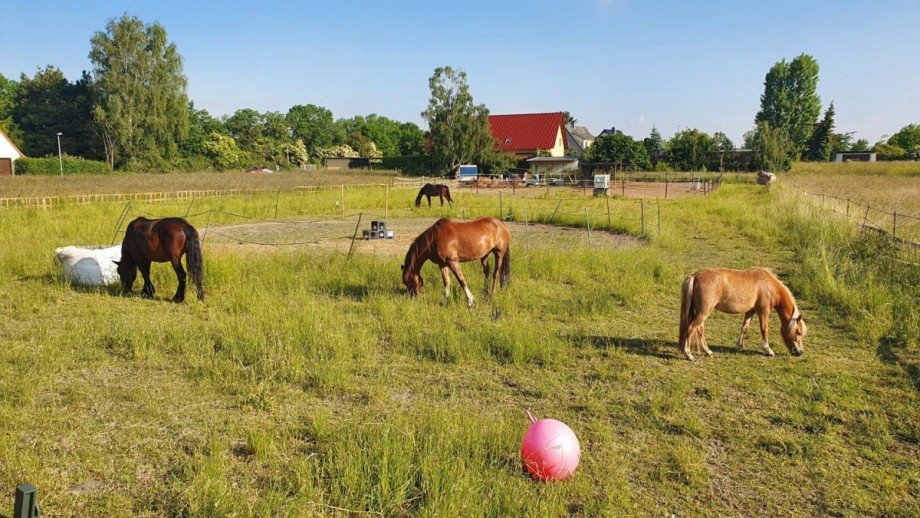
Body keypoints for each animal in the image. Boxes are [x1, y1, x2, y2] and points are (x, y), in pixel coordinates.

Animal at [676, 268, 804, 362]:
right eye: (798, 332)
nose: (800, 352)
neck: (769, 285)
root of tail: (695, 276)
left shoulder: (750, 311)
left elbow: (744, 328)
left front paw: (740, 346)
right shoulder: (763, 311)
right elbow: (764, 329)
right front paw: (768, 350)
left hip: (701, 312)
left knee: (699, 330)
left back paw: (708, 351)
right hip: (703, 313)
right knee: (690, 329)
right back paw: (689, 355)